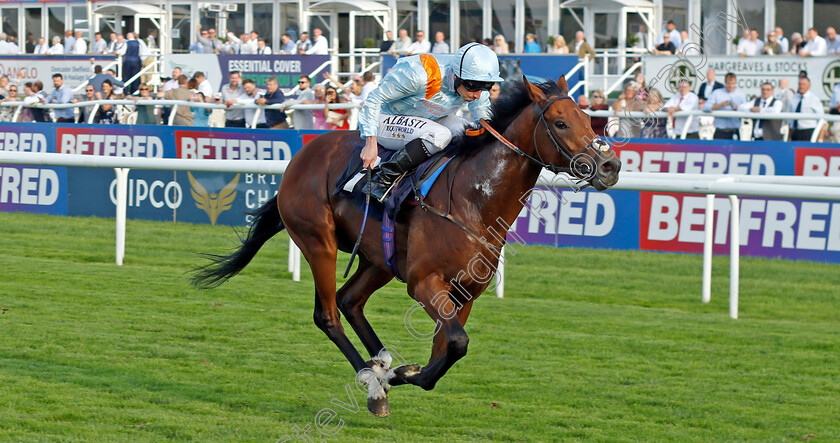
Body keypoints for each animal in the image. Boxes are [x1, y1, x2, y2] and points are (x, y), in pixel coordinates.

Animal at [194, 75, 620, 416]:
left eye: (589, 119)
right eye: (561, 122)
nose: (611, 166)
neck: (473, 199)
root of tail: (302, 155)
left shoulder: (464, 293)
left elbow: (446, 350)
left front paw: (400, 371)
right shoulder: (424, 283)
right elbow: (456, 344)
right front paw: (398, 374)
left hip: (378, 259)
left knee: (350, 301)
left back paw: (379, 367)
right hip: (319, 242)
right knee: (328, 315)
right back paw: (373, 383)